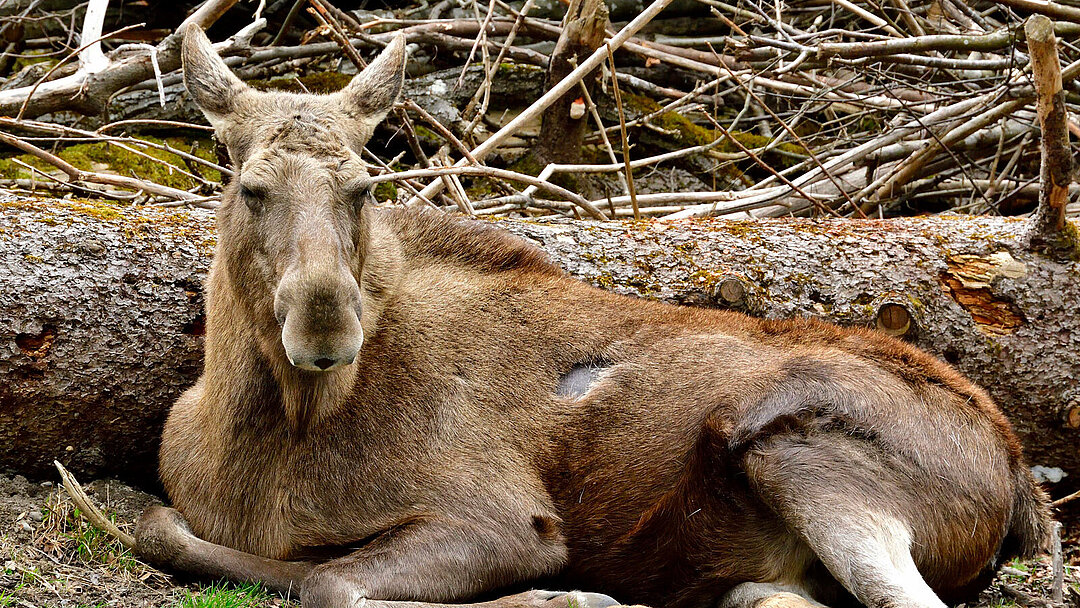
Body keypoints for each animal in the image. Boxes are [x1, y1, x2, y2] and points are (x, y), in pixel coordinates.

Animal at [130, 22, 1049, 608]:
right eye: (250, 186)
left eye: (362, 187)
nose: (326, 329)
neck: (268, 436)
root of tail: (1017, 479)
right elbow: (163, 529)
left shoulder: (509, 522)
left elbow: (329, 580)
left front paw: (564, 600)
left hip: (791, 442)